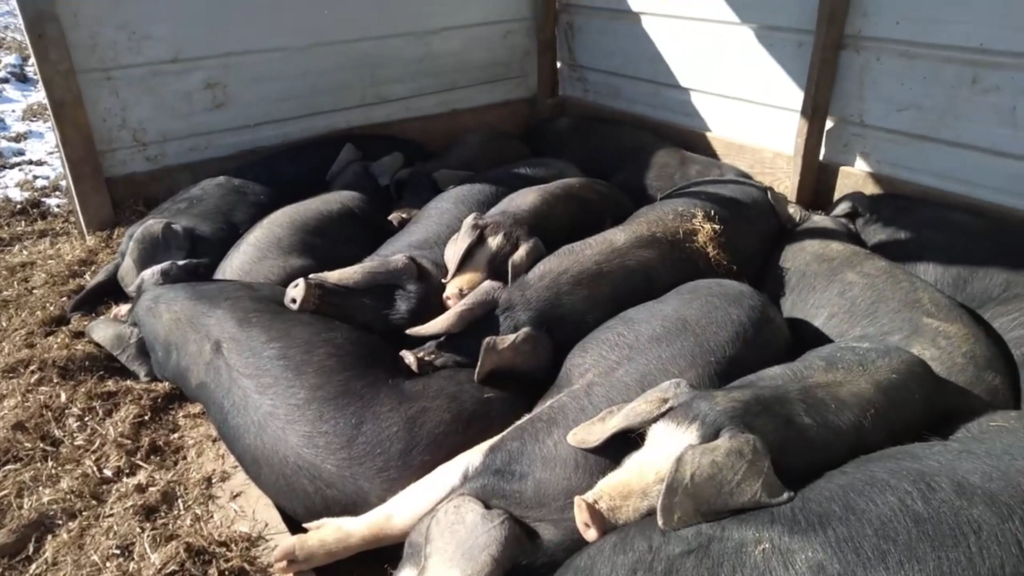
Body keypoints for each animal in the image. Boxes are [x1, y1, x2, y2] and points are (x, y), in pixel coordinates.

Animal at [268, 276, 786, 569]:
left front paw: (286, 556)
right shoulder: (491, 449)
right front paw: (288, 555)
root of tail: (763, 299)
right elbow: (401, 507)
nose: (588, 513)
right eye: (638, 444)